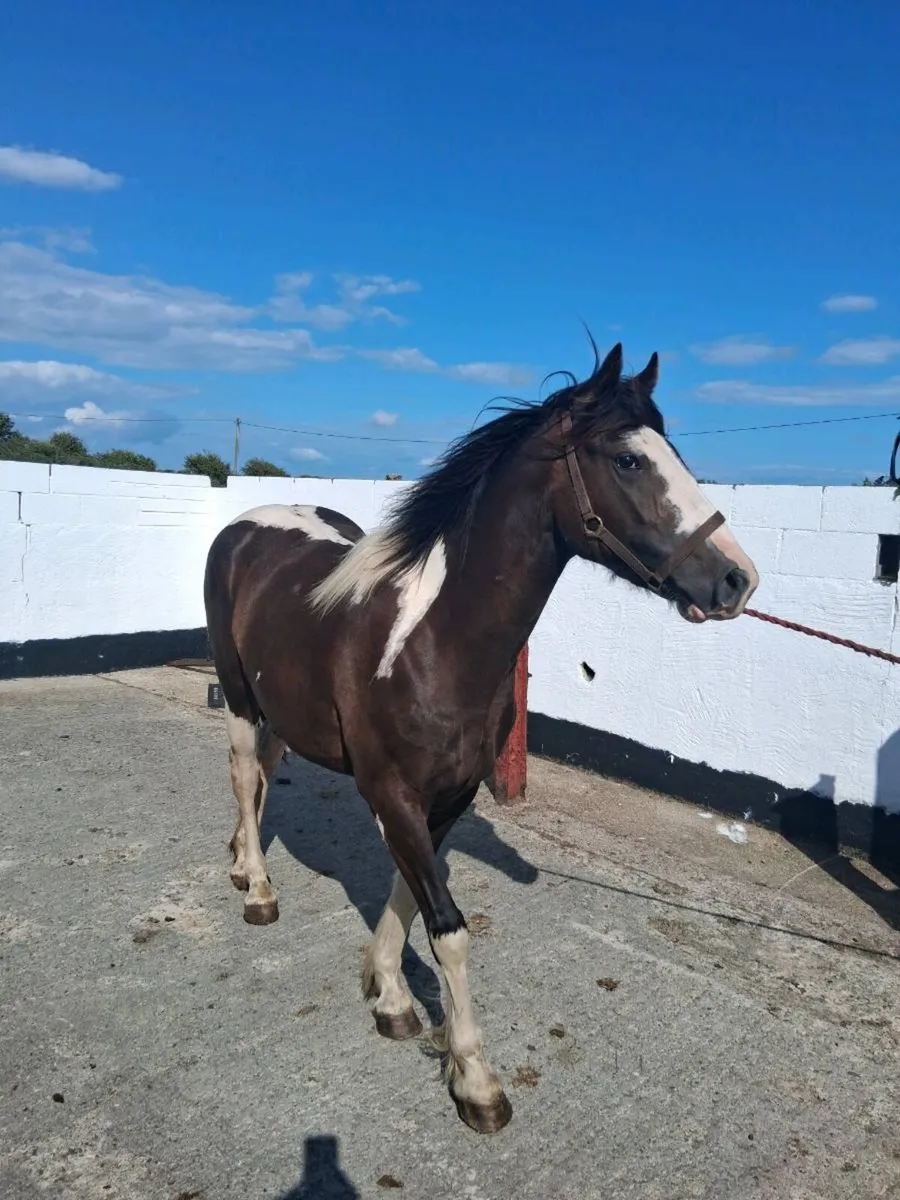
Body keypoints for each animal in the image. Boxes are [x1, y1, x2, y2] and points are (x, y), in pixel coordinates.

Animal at [203, 342, 758, 1134]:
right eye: (627, 459)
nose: (737, 579)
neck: (436, 640)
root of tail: (248, 521)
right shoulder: (392, 792)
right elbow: (449, 926)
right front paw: (475, 1080)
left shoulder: (451, 795)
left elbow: (411, 898)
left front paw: (389, 995)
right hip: (240, 696)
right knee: (245, 773)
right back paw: (255, 884)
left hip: (278, 706)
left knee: (261, 773)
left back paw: (238, 861)